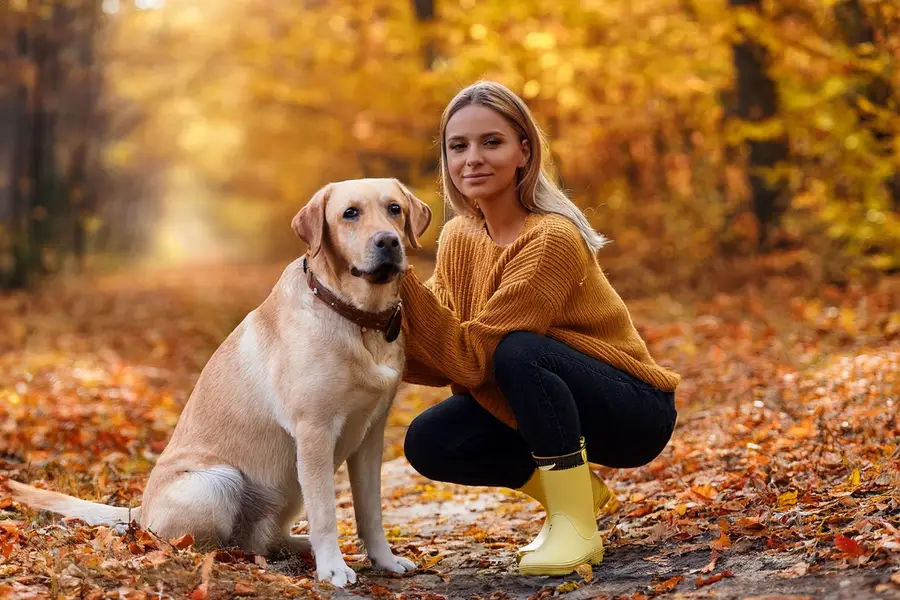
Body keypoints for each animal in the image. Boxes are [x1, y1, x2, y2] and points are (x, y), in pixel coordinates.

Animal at [9, 177, 432, 584]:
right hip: (217, 481)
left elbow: (370, 510)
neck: (357, 318)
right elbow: (326, 512)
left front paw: (384, 560)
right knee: (194, 542)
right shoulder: (314, 430)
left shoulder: (370, 433)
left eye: (394, 209)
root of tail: (139, 511)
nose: (388, 241)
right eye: (350, 213)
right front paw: (333, 569)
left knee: (264, 538)